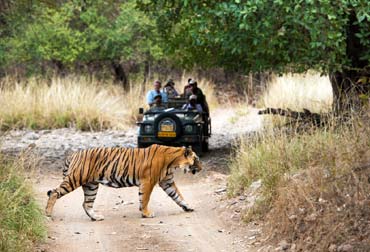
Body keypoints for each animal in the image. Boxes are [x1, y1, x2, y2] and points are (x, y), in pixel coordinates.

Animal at [46, 145, 202, 220]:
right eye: (197, 159)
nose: (201, 168)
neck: (173, 162)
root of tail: (74, 153)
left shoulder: (167, 182)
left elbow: (178, 196)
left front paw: (188, 207)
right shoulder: (148, 181)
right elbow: (145, 199)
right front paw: (146, 214)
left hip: (91, 186)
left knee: (86, 204)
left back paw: (96, 217)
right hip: (75, 178)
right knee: (54, 192)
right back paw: (47, 214)